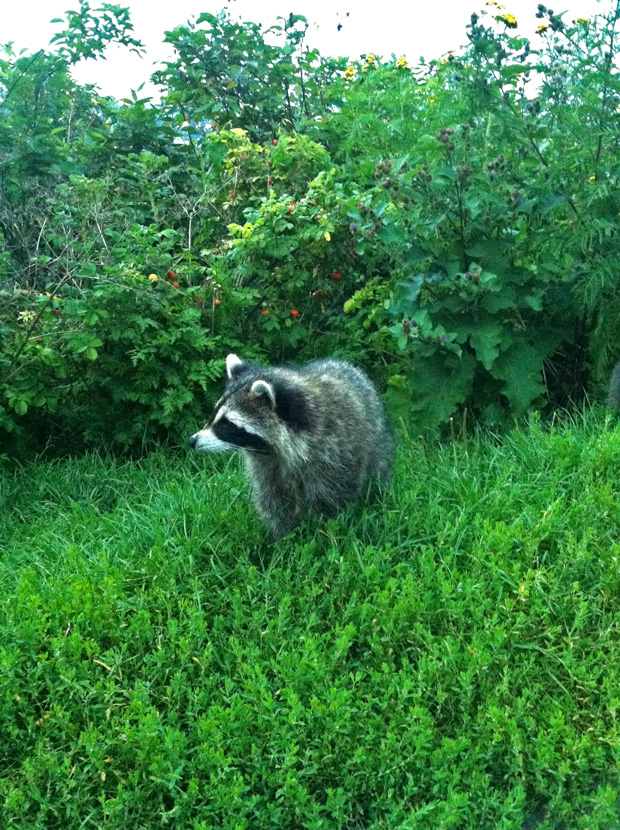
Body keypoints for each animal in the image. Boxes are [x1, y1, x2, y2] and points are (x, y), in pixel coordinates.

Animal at [186, 356, 394, 540]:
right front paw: (283, 537)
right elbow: (273, 499)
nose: (192, 440)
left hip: (377, 442)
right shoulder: (265, 463)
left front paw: (323, 531)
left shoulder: (334, 453)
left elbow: (333, 496)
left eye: (227, 424)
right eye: (214, 414)